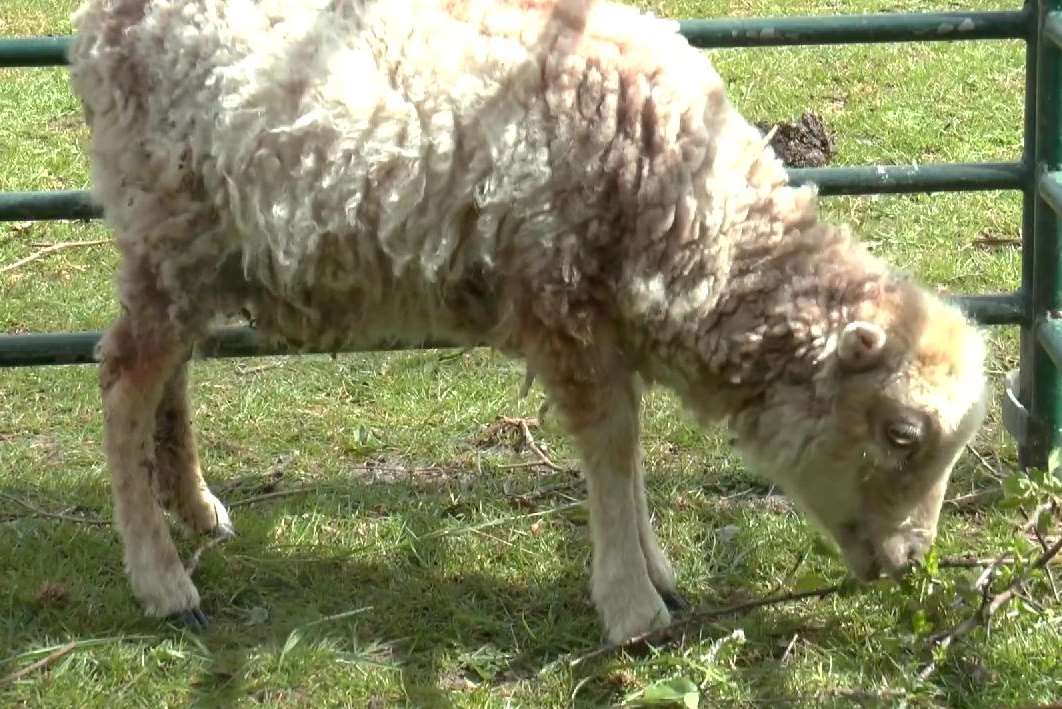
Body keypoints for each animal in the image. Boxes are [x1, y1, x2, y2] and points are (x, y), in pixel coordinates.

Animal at [70, 0, 989, 641]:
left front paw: (657, 570)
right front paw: (632, 606)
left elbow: (629, 452)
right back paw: (161, 580)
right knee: (125, 380)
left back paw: (195, 508)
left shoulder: (610, 319)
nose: (910, 562)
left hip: (195, 252)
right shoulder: (563, 299)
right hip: (168, 225)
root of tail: (100, 25)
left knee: (169, 378)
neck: (697, 215)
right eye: (902, 434)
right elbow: (612, 447)